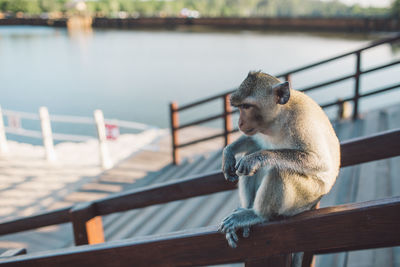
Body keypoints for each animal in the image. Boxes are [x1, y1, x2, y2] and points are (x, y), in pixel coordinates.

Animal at [219, 71, 340, 260]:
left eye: (246, 106)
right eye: (239, 107)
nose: (239, 123)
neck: (278, 119)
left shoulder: (300, 122)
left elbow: (319, 161)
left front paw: (259, 157)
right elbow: (254, 141)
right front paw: (228, 153)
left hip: (307, 196)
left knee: (280, 171)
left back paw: (257, 215)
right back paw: (247, 208)